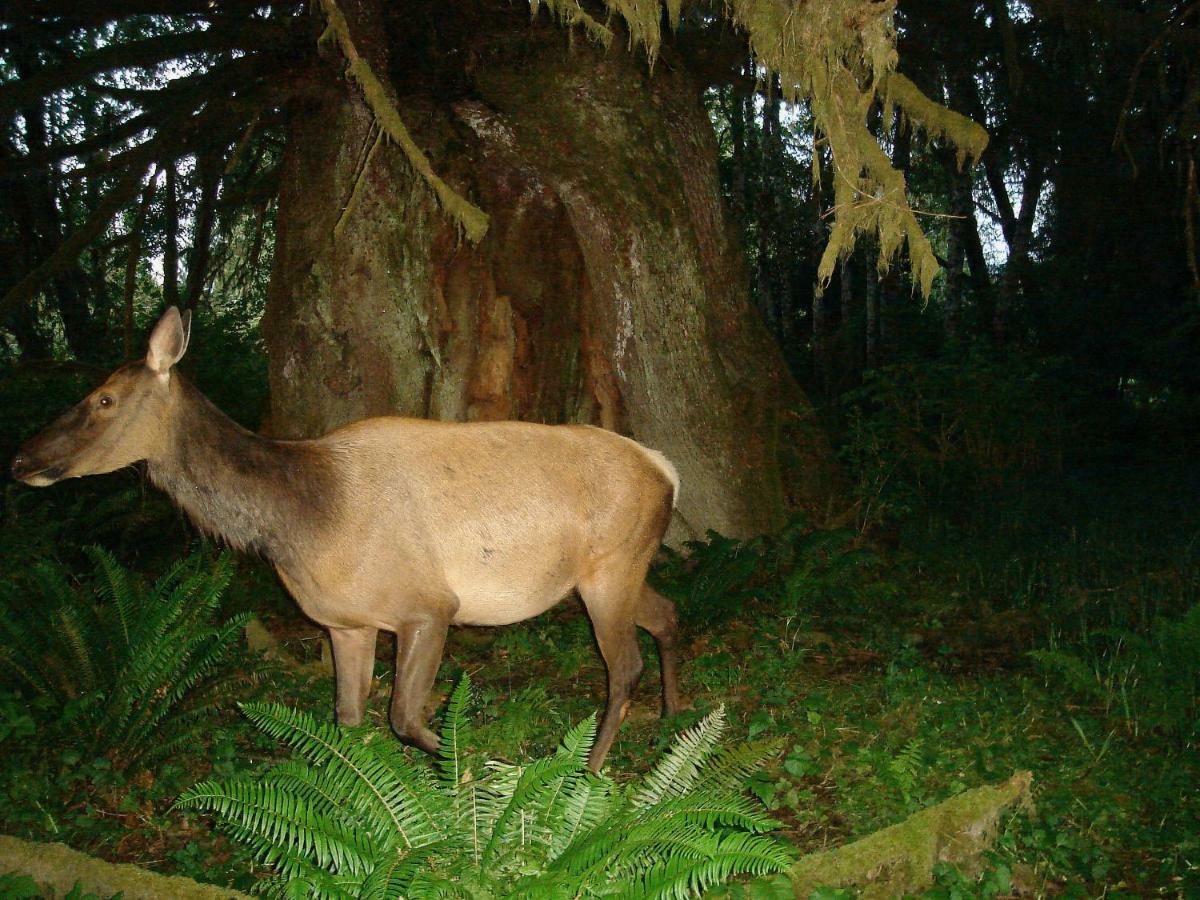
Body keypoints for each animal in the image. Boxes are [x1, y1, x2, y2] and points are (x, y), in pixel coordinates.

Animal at [9, 309, 681, 768]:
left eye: (103, 398)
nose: (21, 459)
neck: (305, 523)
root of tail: (665, 470)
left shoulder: (428, 606)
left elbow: (404, 717)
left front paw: (468, 770)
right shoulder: (345, 621)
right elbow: (349, 717)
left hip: (610, 569)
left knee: (624, 666)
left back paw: (591, 769)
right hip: (615, 572)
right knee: (667, 614)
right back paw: (676, 714)